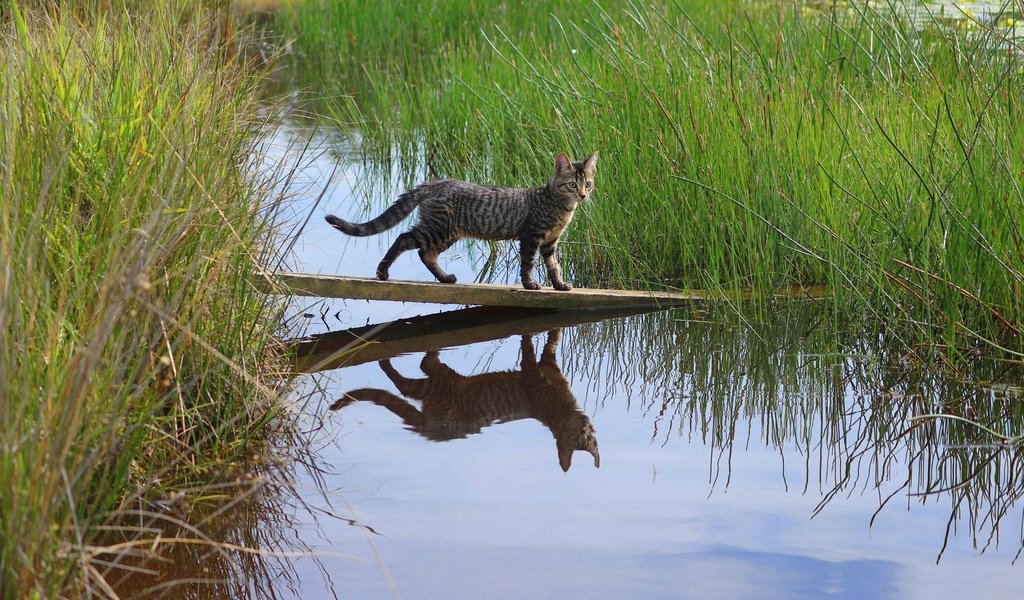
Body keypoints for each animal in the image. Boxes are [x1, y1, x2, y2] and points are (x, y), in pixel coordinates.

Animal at [327, 149, 598, 288]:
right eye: (572, 184)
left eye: (588, 183)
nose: (583, 195)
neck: (562, 207)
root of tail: (436, 182)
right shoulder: (531, 236)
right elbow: (528, 264)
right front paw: (530, 284)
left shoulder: (551, 242)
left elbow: (554, 266)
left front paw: (560, 284)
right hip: (438, 228)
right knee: (404, 239)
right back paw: (382, 272)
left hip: (449, 232)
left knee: (426, 253)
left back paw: (445, 278)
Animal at [331, 329, 598, 468]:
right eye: (577, 437)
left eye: (588, 438)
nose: (586, 427)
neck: (560, 409)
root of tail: (434, 430)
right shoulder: (534, 372)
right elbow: (531, 347)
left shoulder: (550, 364)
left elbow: (552, 341)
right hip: (439, 384)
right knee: (413, 375)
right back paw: (388, 360)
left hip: (436, 384)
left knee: (418, 373)